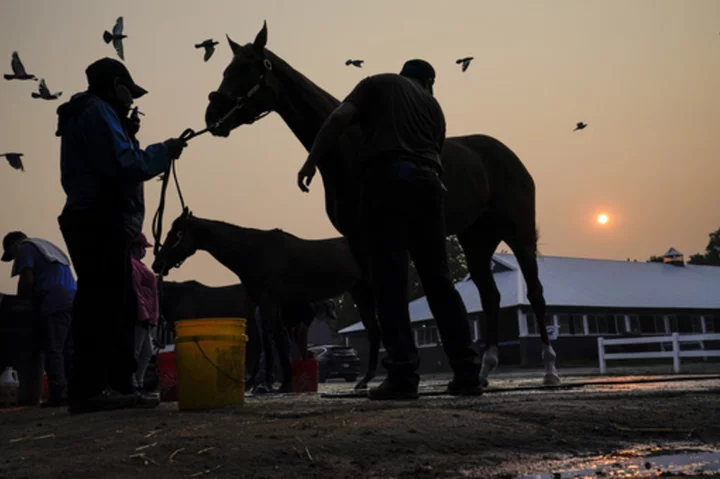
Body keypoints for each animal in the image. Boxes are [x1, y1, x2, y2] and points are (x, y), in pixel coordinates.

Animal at [204, 23, 564, 390]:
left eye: (245, 68)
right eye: (226, 68)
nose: (212, 116)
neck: (349, 147)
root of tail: (508, 155)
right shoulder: (358, 237)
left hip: (518, 232)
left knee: (535, 293)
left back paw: (550, 370)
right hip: (476, 239)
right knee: (490, 297)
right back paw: (483, 371)